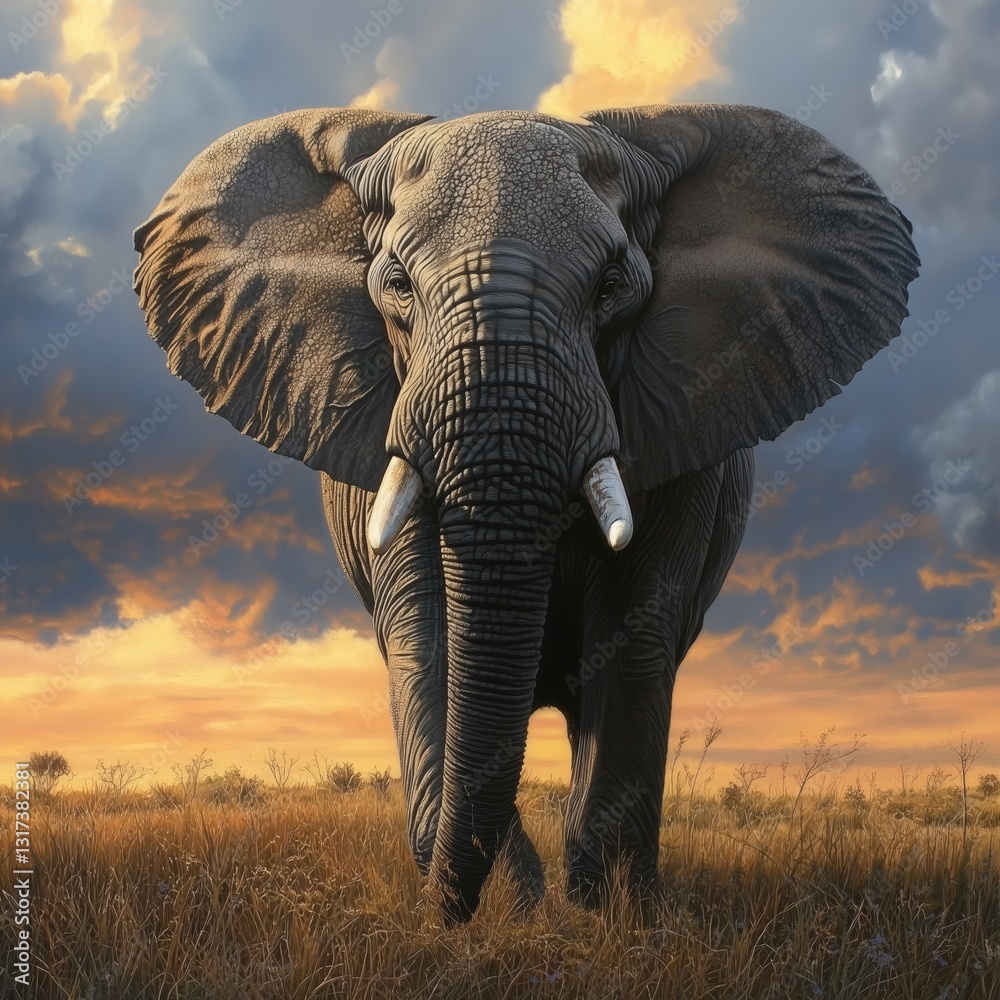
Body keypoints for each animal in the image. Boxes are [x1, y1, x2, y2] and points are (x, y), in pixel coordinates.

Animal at [132, 103, 919, 923]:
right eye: (396, 284)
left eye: (612, 286)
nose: (441, 914)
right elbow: (431, 643)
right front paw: (507, 918)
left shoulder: (681, 423)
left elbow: (633, 637)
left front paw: (605, 921)